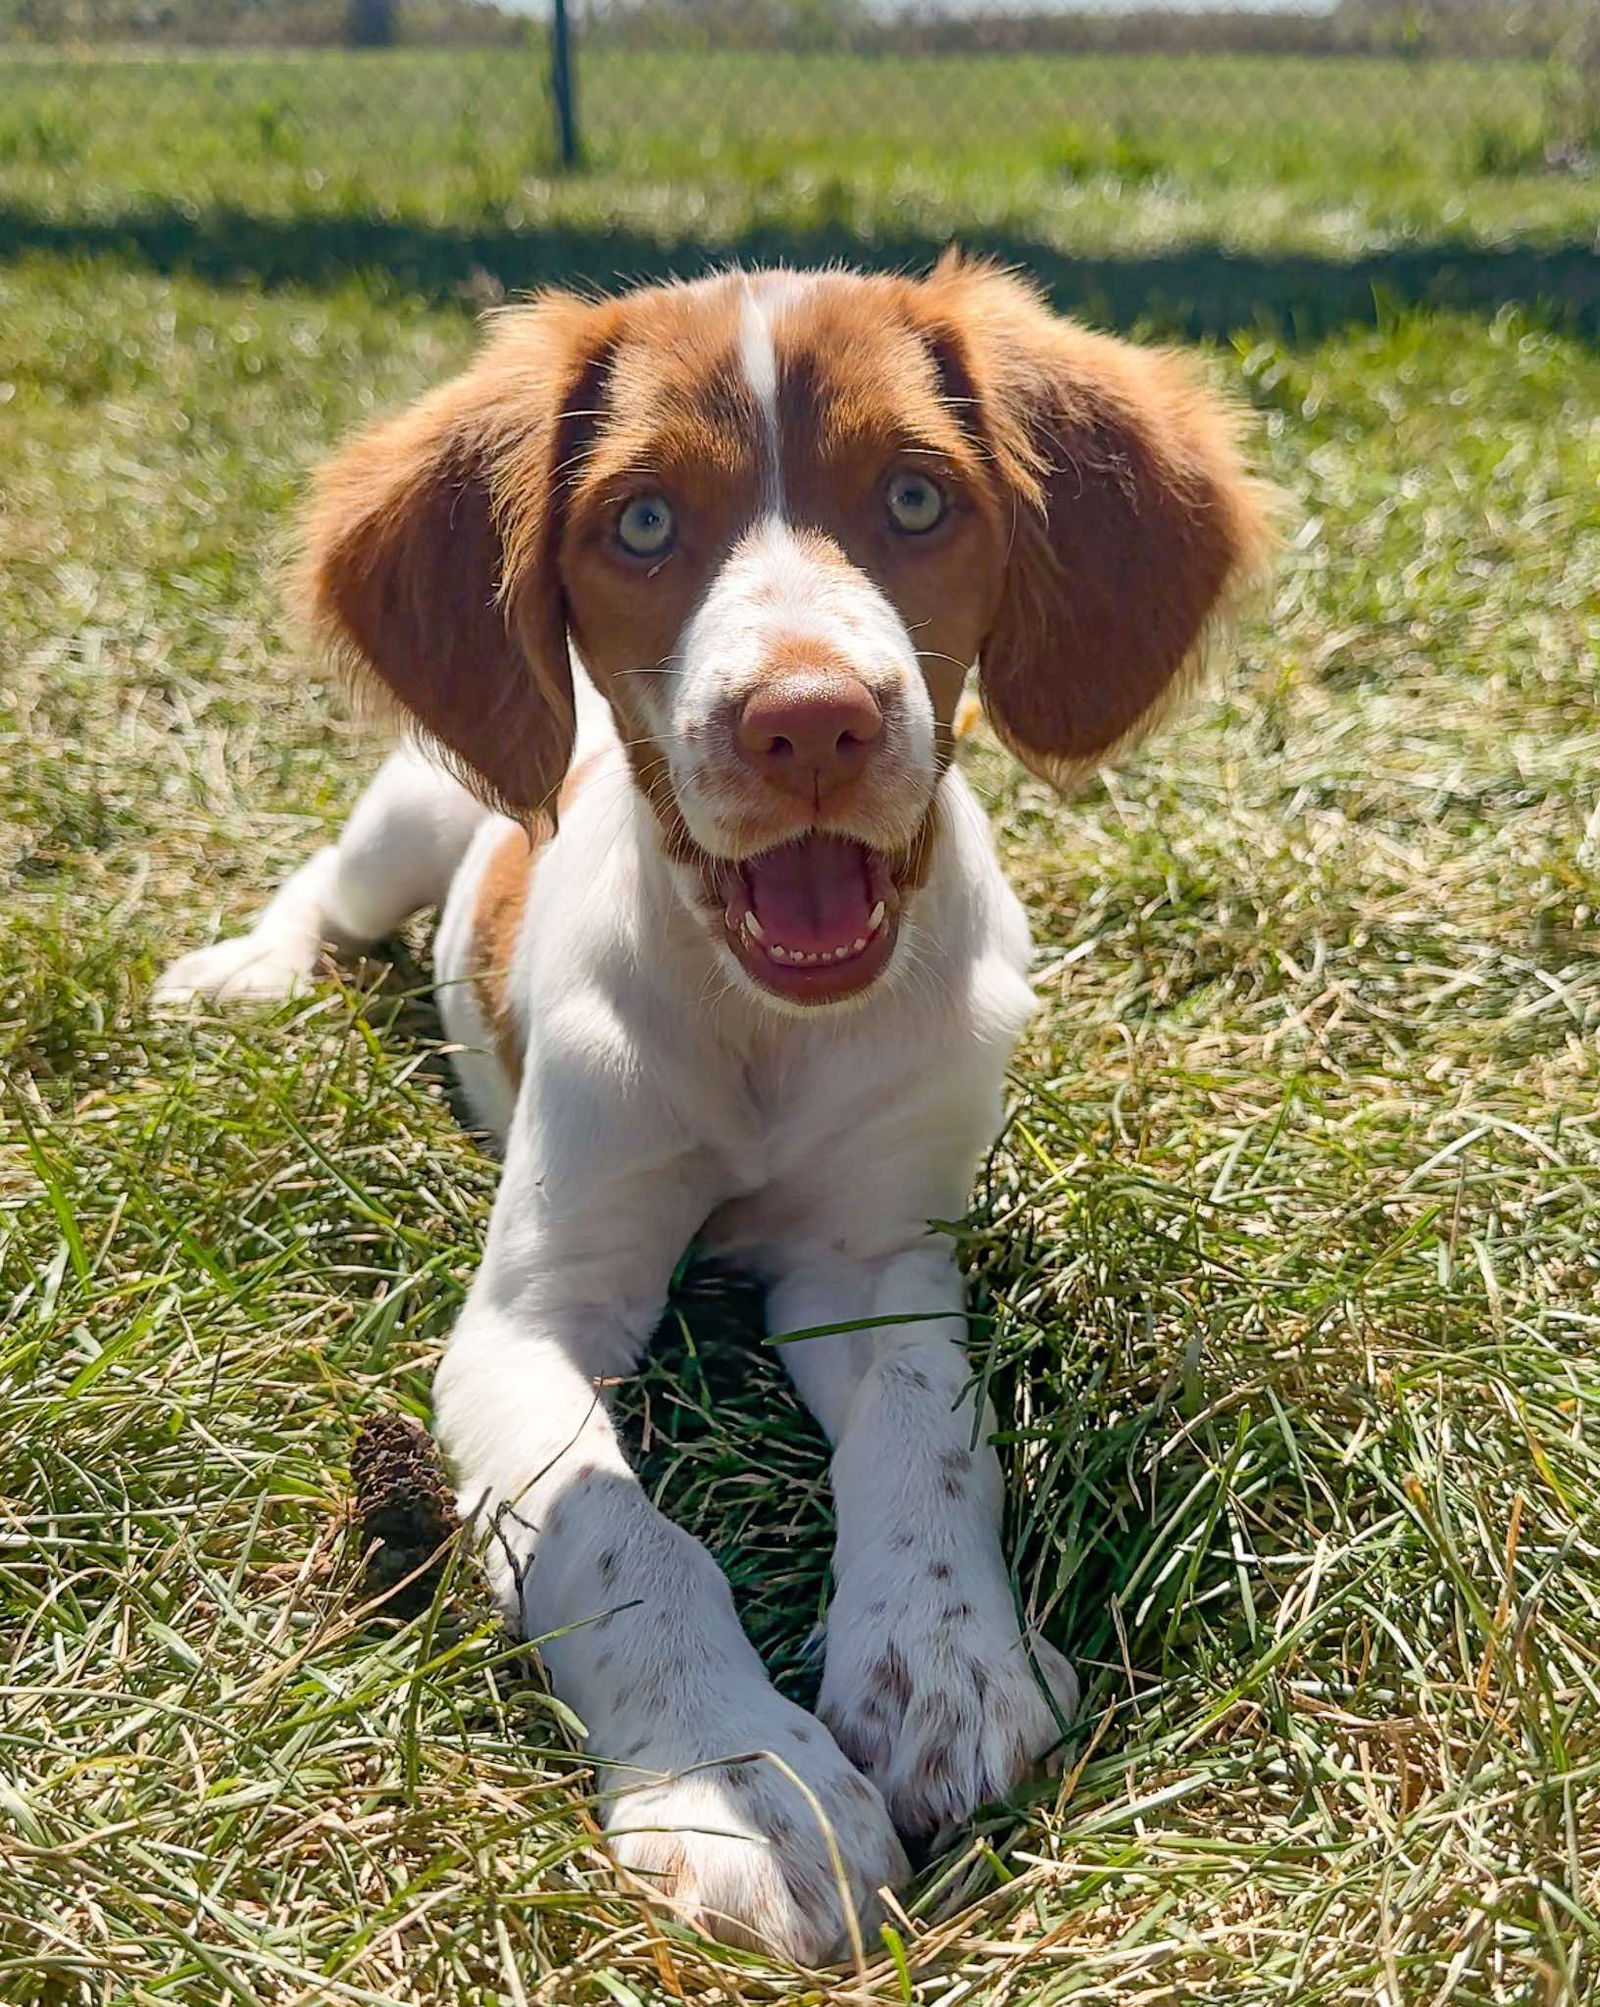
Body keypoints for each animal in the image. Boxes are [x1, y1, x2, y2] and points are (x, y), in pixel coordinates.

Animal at [155, 250, 1268, 1958]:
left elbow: (935, 1439)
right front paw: (746, 1788)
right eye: (643, 523)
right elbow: (618, 1531)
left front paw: (946, 1664)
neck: (768, 1030)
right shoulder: (531, 1314)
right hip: (412, 805)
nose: (808, 721)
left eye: (918, 497)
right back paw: (247, 970)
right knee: (327, 890)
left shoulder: (877, 1268)